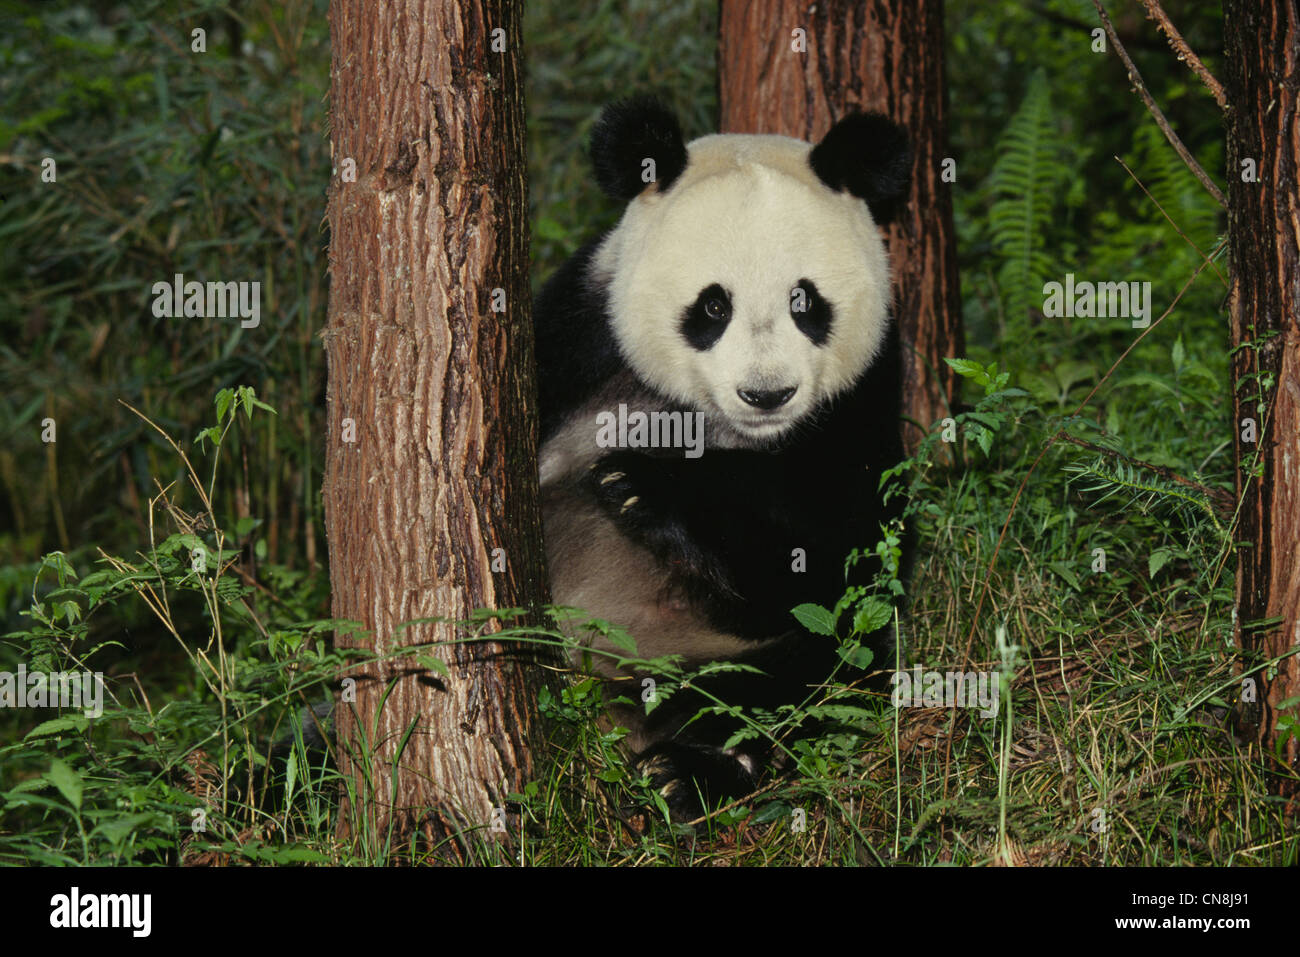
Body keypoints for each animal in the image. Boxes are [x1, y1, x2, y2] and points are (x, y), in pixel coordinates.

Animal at [533, 95, 913, 821]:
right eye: (713, 305)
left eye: (805, 302)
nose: (767, 393)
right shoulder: (578, 337)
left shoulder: (864, 401)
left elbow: (841, 560)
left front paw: (640, 488)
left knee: (817, 668)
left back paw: (692, 772)